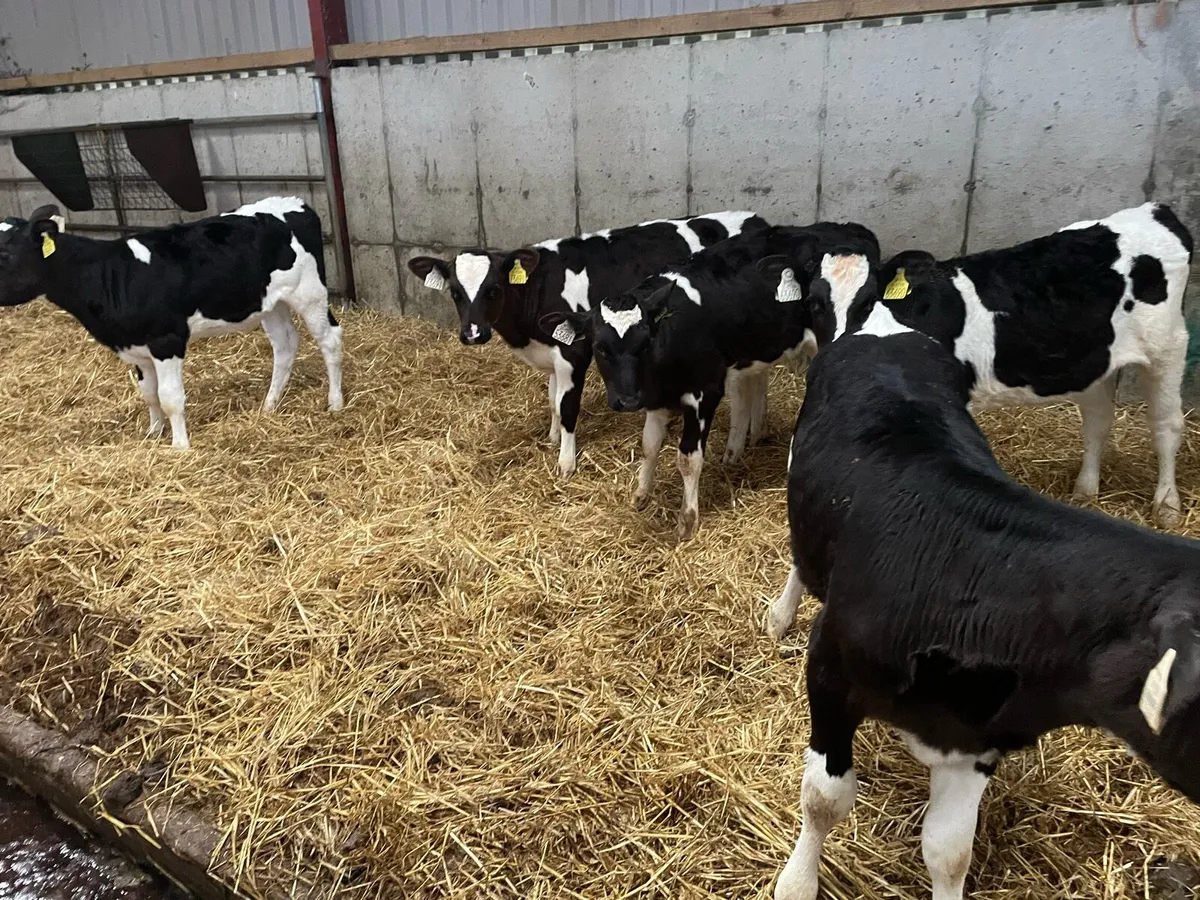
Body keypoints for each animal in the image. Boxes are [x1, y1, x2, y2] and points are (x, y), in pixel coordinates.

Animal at [0, 197, 343, 449]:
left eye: (5, 253)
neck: (112, 274)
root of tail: (296, 203)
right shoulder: (136, 347)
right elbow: (149, 394)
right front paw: (153, 433)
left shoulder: (166, 341)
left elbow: (170, 398)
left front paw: (179, 446)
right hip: (269, 304)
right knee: (284, 345)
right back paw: (270, 405)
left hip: (310, 293)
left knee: (330, 341)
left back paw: (335, 402)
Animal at [407, 211, 768, 478]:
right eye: (455, 292)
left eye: (493, 289)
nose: (473, 334)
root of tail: (756, 220)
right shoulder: (552, 351)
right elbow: (553, 401)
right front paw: (552, 438)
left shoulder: (573, 353)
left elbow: (568, 407)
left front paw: (566, 463)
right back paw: (757, 432)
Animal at [544, 222, 879, 540]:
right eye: (600, 347)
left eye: (645, 342)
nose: (626, 401)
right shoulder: (656, 396)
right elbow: (649, 445)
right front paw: (641, 495)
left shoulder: (704, 393)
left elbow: (688, 458)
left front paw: (687, 520)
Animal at [758, 202, 1194, 528]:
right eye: (814, 302)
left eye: (868, 300)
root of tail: (1156, 211)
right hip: (1098, 358)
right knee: (1098, 420)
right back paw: (1086, 491)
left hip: (1168, 346)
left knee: (1167, 425)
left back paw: (1167, 507)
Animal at [767, 323, 1200, 900]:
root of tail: (886, 329)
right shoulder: (829, 671)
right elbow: (823, 800)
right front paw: (797, 881)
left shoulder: (977, 736)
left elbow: (948, 851)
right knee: (801, 559)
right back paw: (780, 614)